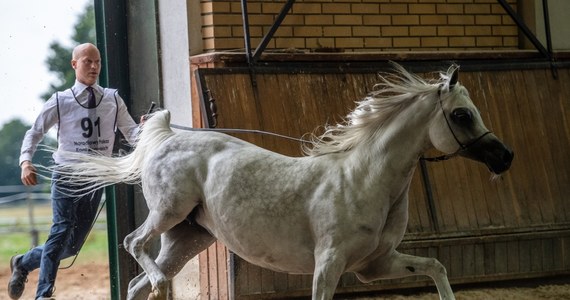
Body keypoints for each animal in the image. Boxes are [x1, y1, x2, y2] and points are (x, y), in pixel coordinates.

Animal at [56, 63, 510, 300]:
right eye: (462, 115)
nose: (505, 157)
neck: (366, 180)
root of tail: (166, 136)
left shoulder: (374, 266)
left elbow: (436, 267)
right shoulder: (329, 264)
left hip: (188, 238)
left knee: (136, 283)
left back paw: (154, 283)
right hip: (169, 213)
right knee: (134, 244)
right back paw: (160, 283)